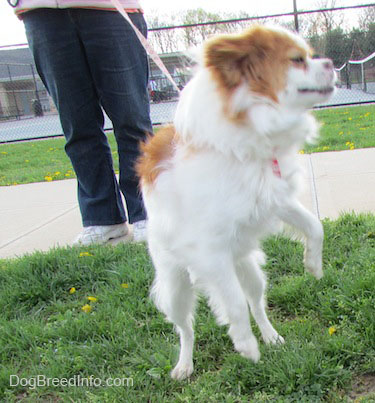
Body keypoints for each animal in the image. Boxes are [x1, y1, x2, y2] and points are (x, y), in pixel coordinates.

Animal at [137, 26, 336, 382]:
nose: (330, 64)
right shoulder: (210, 251)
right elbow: (232, 303)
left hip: (250, 271)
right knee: (186, 328)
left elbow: (315, 226)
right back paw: (185, 364)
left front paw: (313, 263)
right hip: (175, 287)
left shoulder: (274, 199)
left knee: (257, 303)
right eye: (297, 60)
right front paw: (245, 345)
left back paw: (271, 336)